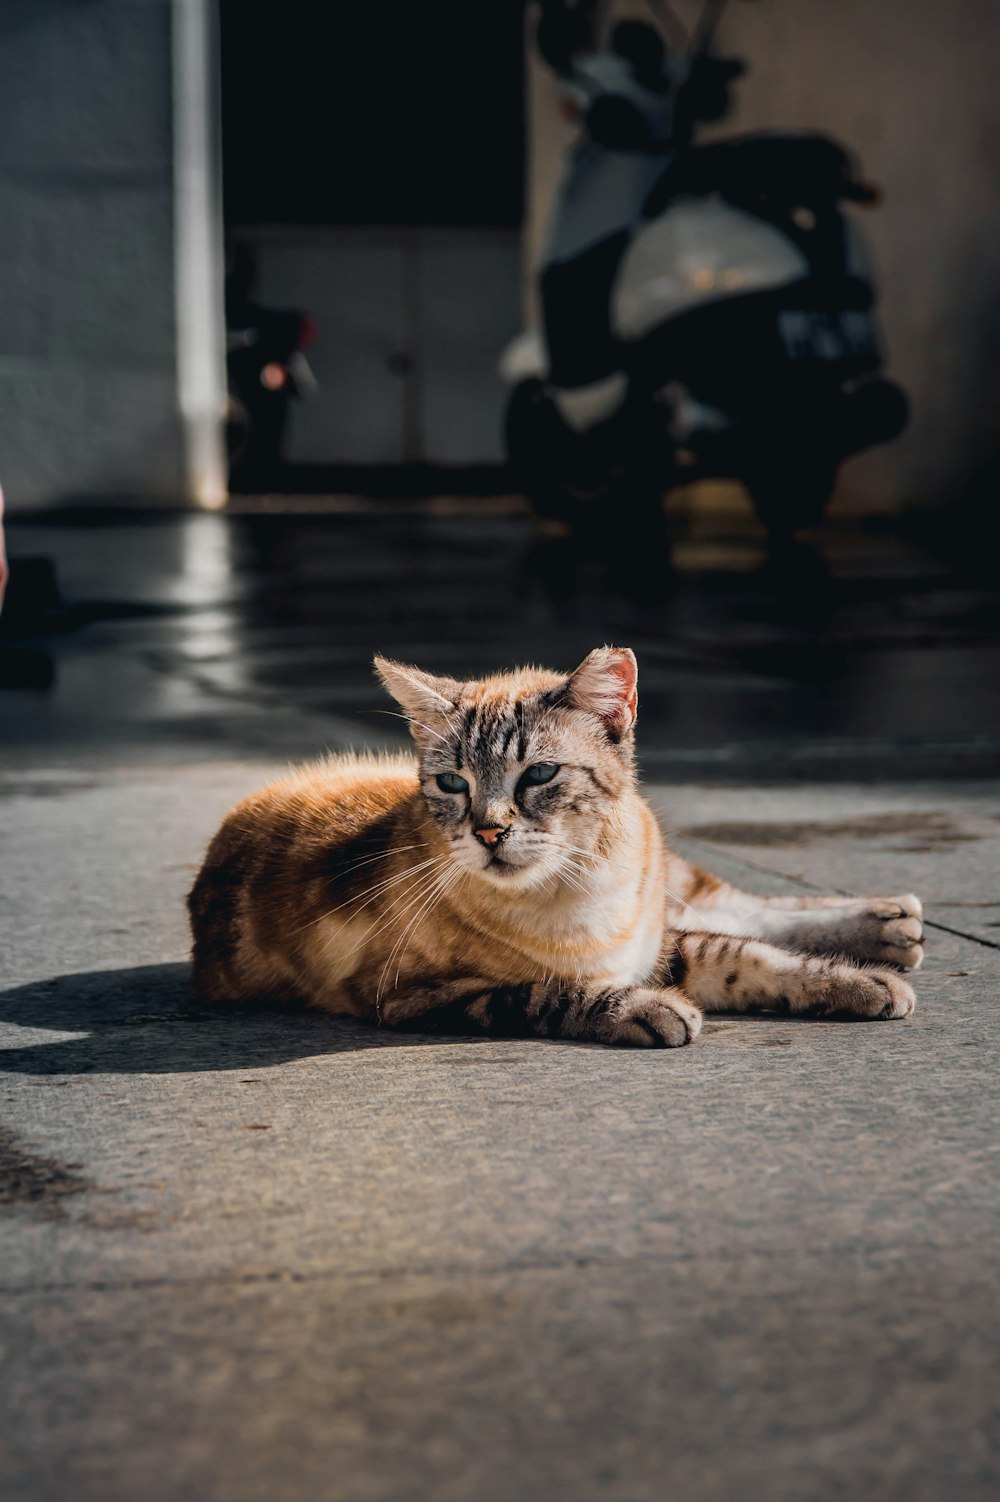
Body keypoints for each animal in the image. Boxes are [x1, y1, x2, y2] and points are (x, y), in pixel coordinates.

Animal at [184, 645, 918, 1045]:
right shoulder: (421, 998)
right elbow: (552, 992)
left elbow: (751, 956)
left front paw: (862, 982)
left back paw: (890, 922)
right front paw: (651, 1009)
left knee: (734, 904)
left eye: (537, 775)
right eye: (453, 782)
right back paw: (893, 927)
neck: (586, 891)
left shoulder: (659, 942)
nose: (489, 830)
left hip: (676, 886)